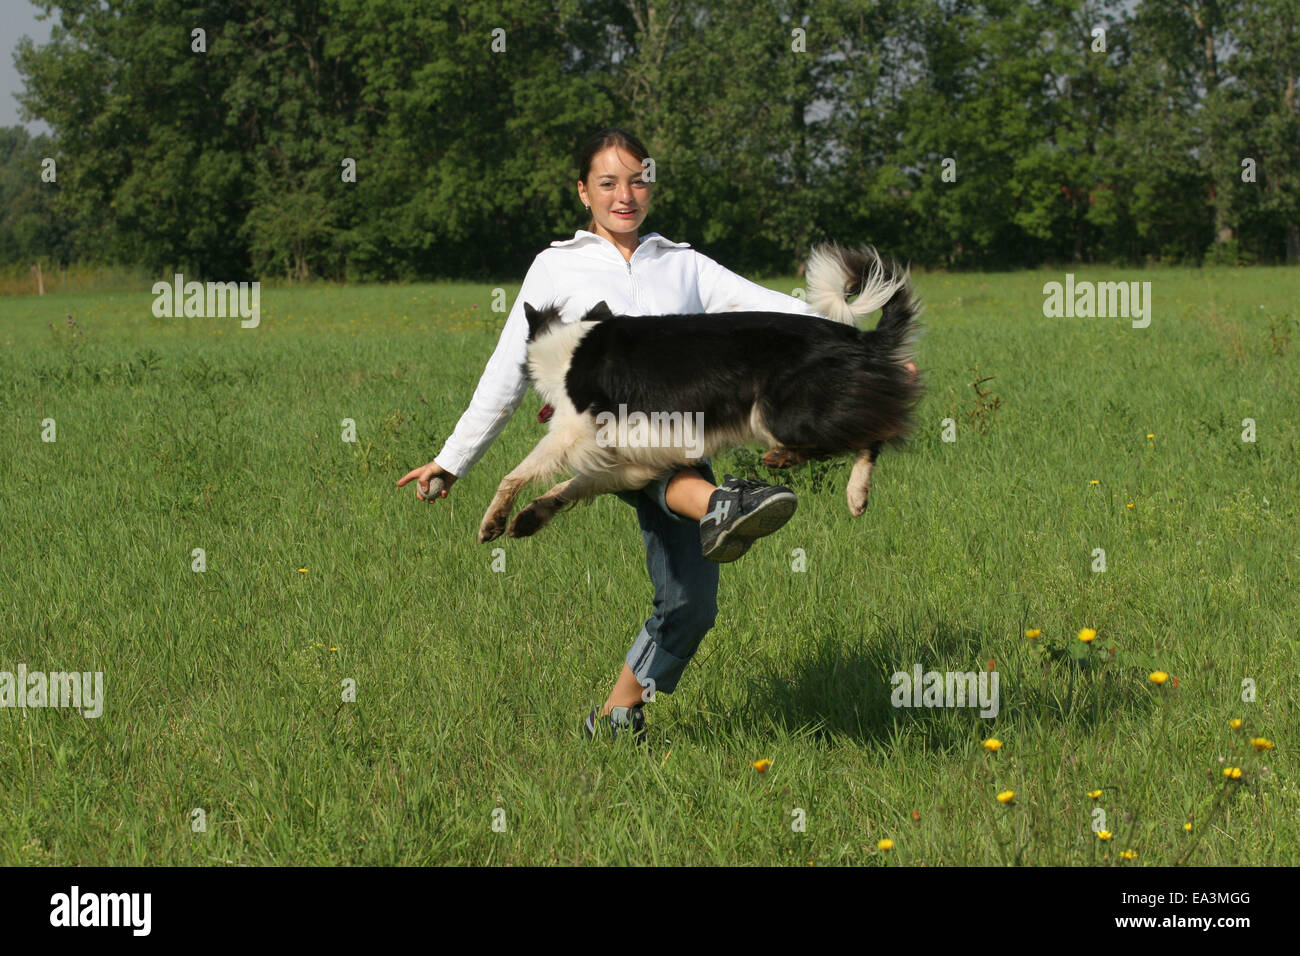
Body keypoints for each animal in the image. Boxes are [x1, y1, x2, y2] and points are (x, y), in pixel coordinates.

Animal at [480, 244, 925, 546]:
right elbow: (568, 487)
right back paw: (835, 485)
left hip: (780, 413)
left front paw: (492, 520)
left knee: (874, 432)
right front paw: (529, 518)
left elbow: (515, 473)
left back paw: (837, 484)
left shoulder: (573, 431)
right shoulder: (634, 461)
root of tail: (856, 336)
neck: (562, 346)